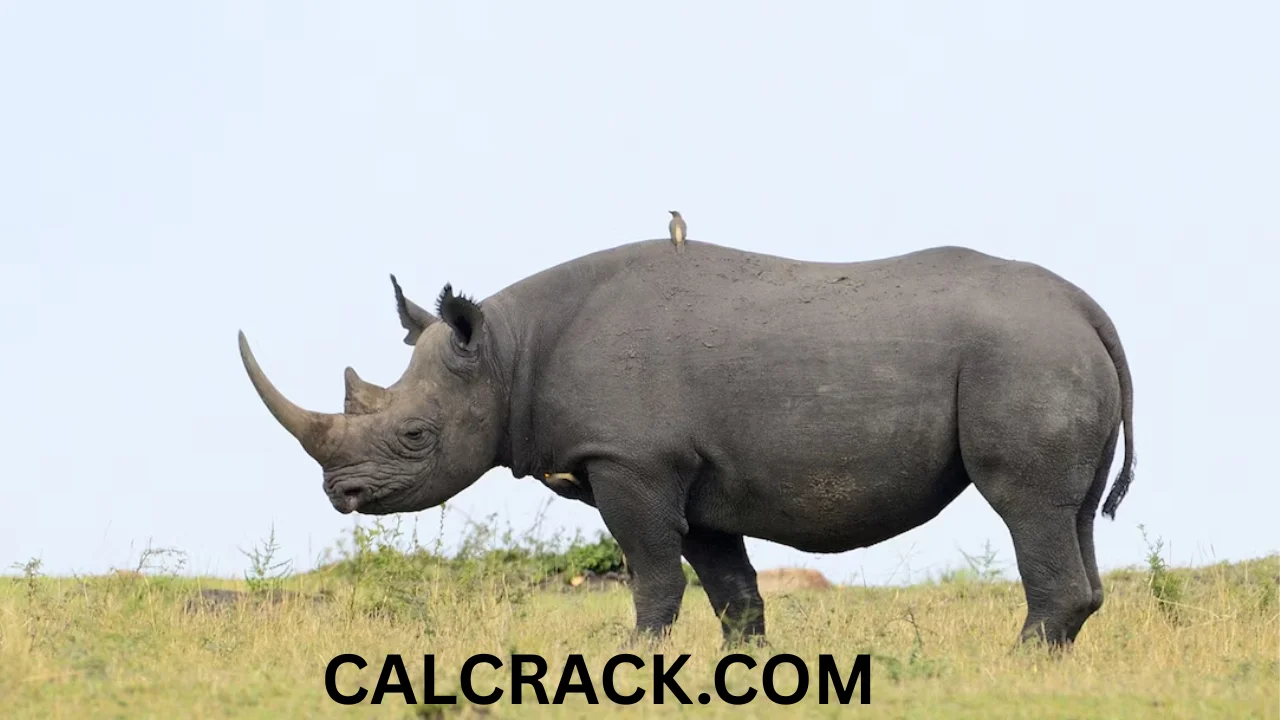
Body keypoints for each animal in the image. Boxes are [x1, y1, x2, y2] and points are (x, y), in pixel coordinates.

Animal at [238, 239, 1136, 648]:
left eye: (416, 435)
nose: (341, 495)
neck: (507, 354)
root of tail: (1089, 309)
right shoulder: (699, 480)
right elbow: (730, 588)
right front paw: (746, 665)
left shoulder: (631, 460)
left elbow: (652, 573)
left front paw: (631, 658)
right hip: (1049, 352)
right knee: (1072, 512)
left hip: (1023, 356)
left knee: (1024, 505)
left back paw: (1016, 663)